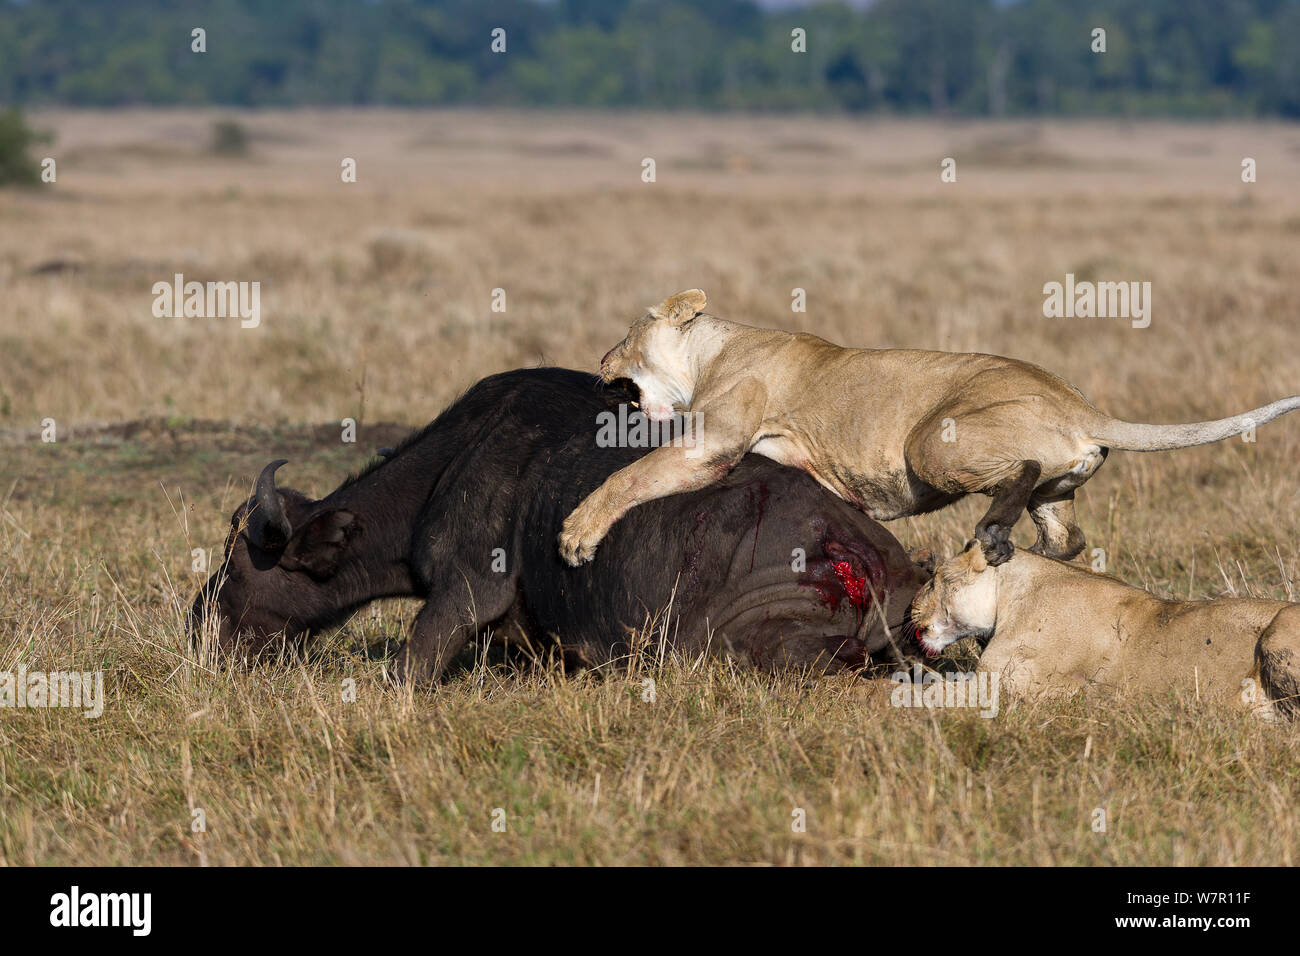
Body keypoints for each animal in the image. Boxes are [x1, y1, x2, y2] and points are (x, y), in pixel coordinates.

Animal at [189, 366, 925, 681]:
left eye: (238, 569)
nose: (198, 627)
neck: (452, 462)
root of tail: (867, 553)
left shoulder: (464, 593)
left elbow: (405, 668)